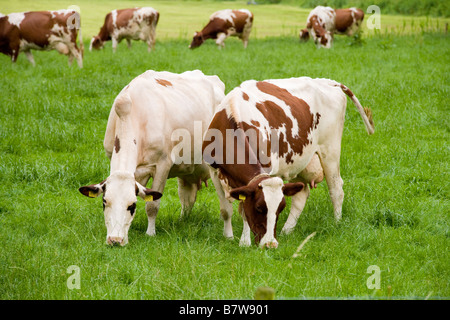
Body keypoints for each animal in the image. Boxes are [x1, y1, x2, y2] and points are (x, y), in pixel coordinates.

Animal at [78, 69, 225, 245]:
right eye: (104, 202)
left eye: (132, 205)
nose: (115, 240)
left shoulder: (162, 165)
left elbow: (152, 205)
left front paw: (150, 233)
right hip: (187, 169)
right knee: (187, 197)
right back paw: (183, 221)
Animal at [202, 76, 374, 249]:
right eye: (259, 208)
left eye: (280, 209)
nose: (270, 244)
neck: (232, 118)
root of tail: (327, 81)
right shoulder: (214, 172)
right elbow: (226, 210)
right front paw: (229, 237)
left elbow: (242, 209)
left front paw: (244, 241)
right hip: (300, 161)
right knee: (302, 194)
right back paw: (287, 230)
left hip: (330, 150)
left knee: (336, 189)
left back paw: (337, 223)